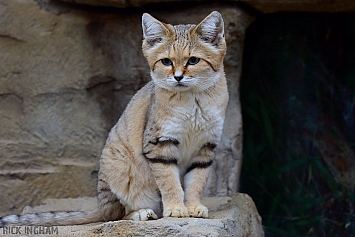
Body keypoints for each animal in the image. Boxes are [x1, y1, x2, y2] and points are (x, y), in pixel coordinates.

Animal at [0, 10, 228, 226]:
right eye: (166, 61)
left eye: (193, 60)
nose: (178, 77)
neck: (193, 101)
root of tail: (99, 206)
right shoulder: (159, 144)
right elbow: (169, 181)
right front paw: (175, 209)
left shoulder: (205, 147)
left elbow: (196, 182)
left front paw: (194, 207)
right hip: (120, 170)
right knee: (113, 215)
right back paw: (141, 213)